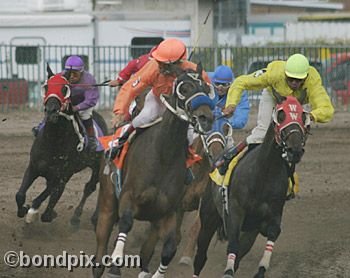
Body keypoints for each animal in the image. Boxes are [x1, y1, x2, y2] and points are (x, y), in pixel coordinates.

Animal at [15, 65, 108, 228]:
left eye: (65, 88)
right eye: (46, 86)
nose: (51, 111)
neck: (53, 141)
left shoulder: (62, 175)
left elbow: (45, 203)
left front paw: (34, 212)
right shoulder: (34, 167)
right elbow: (20, 195)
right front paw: (24, 209)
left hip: (97, 165)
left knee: (91, 186)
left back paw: (84, 217)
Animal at [91, 64, 215, 278]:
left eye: (206, 89)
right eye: (184, 88)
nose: (206, 118)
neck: (163, 155)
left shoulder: (168, 212)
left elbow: (169, 247)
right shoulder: (128, 197)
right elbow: (126, 223)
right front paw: (116, 263)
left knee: (146, 252)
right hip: (107, 202)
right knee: (100, 254)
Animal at [194, 90, 312, 276]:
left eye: (303, 116)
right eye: (280, 115)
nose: (294, 150)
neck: (263, 174)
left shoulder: (270, 217)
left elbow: (273, 233)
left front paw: (261, 269)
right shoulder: (235, 213)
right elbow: (232, 248)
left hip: (248, 233)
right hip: (208, 219)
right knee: (200, 257)